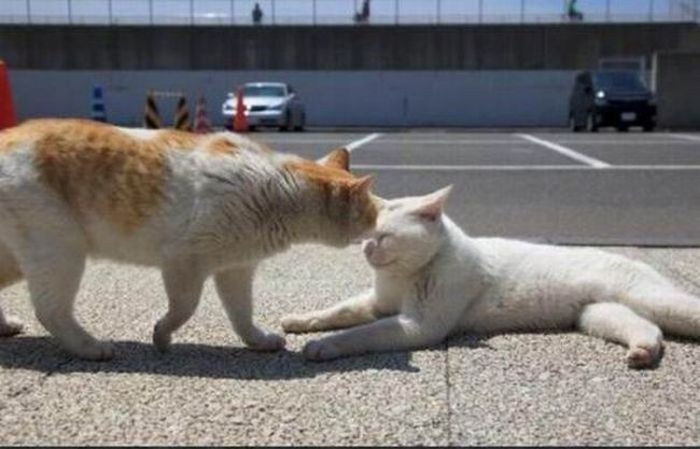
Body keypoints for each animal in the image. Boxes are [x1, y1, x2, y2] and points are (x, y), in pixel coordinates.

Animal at [0, 119, 378, 360]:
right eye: (373, 212)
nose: (377, 226)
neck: (282, 189)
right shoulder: (183, 262)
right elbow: (184, 308)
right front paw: (162, 335)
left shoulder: (235, 269)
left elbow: (242, 313)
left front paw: (256, 341)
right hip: (59, 249)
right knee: (51, 310)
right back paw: (89, 347)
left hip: (19, 260)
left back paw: (5, 327)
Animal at [284, 185, 700, 368]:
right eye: (364, 236)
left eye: (383, 237)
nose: (366, 251)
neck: (402, 277)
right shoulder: (377, 303)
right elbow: (338, 311)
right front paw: (299, 321)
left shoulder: (419, 325)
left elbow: (360, 333)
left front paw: (324, 346)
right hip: (596, 315)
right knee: (647, 329)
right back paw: (643, 352)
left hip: (652, 300)